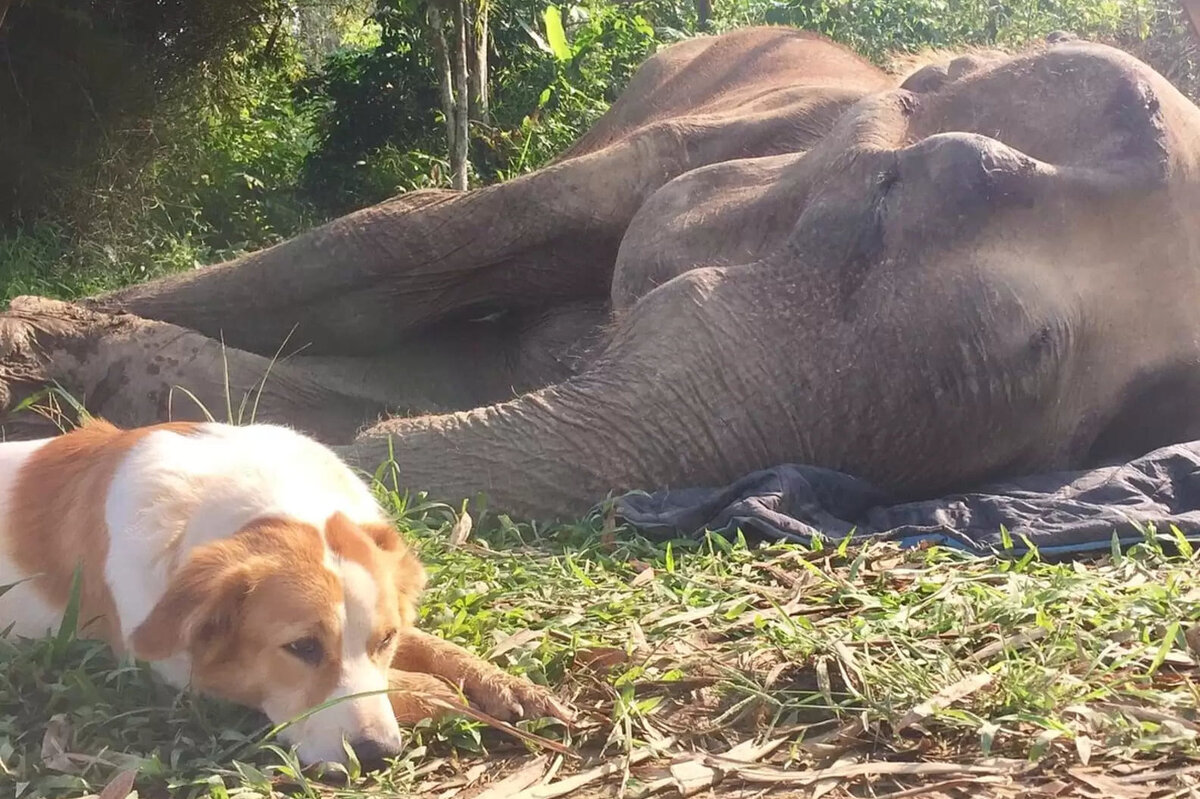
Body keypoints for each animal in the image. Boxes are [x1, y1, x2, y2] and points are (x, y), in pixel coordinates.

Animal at [0, 417, 571, 767]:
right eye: (301, 648)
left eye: (384, 641)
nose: (379, 755)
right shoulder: (179, 669)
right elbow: (421, 686)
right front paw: (446, 696)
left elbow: (435, 646)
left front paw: (504, 682)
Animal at [2, 26, 1200, 515]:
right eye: (895, 196)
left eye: (1126, 423)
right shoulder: (691, 142)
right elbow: (395, 243)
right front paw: (36, 338)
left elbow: (428, 380)